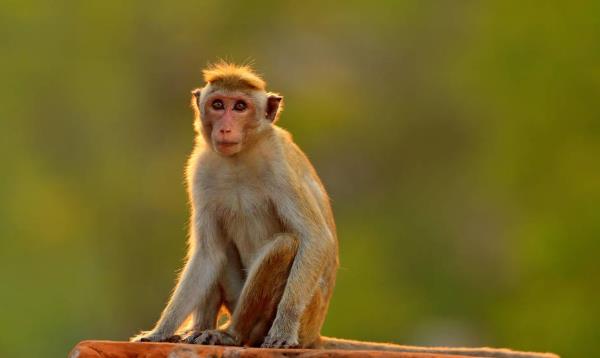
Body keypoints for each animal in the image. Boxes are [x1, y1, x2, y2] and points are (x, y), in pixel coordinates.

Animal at [130, 62, 556, 358]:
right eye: (217, 105)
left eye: (240, 106)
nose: (225, 128)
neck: (240, 158)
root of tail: (316, 334)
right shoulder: (199, 171)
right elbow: (208, 252)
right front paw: (159, 331)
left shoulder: (278, 165)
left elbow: (313, 238)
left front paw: (280, 332)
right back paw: (201, 328)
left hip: (301, 315)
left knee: (285, 245)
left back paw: (233, 334)